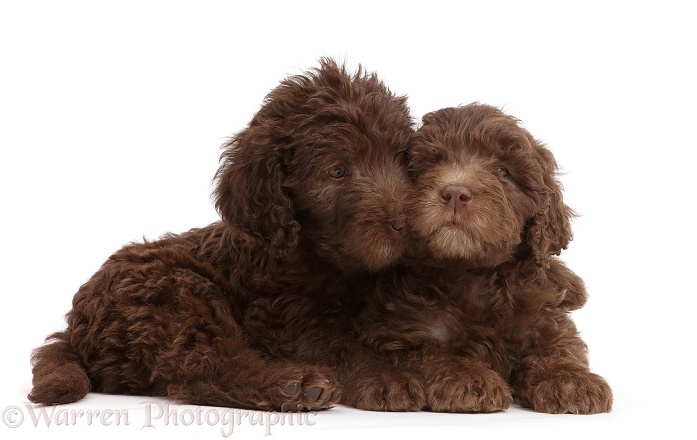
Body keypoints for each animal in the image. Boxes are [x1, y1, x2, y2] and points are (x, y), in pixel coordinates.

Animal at [27, 59, 418, 412]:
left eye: (401, 159)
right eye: (337, 171)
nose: (406, 222)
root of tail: (74, 329)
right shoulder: (282, 317)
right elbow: (337, 345)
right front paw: (384, 377)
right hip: (177, 294)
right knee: (201, 370)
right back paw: (294, 385)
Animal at [356, 103, 612, 412]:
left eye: (503, 171)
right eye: (432, 163)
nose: (455, 193)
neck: (472, 273)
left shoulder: (543, 314)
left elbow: (559, 344)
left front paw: (570, 379)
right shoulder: (401, 330)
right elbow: (432, 353)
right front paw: (468, 379)